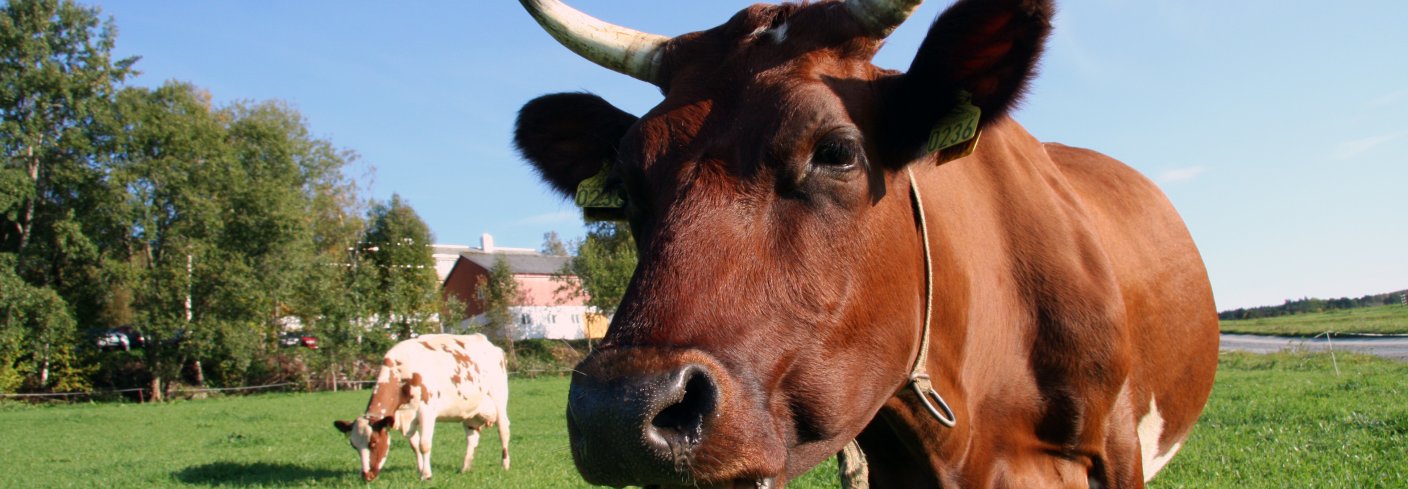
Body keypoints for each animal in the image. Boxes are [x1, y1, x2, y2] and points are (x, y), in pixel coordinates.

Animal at [335, 335, 512, 481]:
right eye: (354, 445)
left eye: (373, 442)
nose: (366, 476)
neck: (402, 372)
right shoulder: (404, 416)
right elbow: (414, 445)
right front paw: (421, 469)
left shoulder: (427, 412)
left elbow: (424, 444)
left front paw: (426, 475)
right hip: (470, 412)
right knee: (472, 438)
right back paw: (465, 468)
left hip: (499, 402)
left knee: (503, 431)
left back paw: (505, 465)